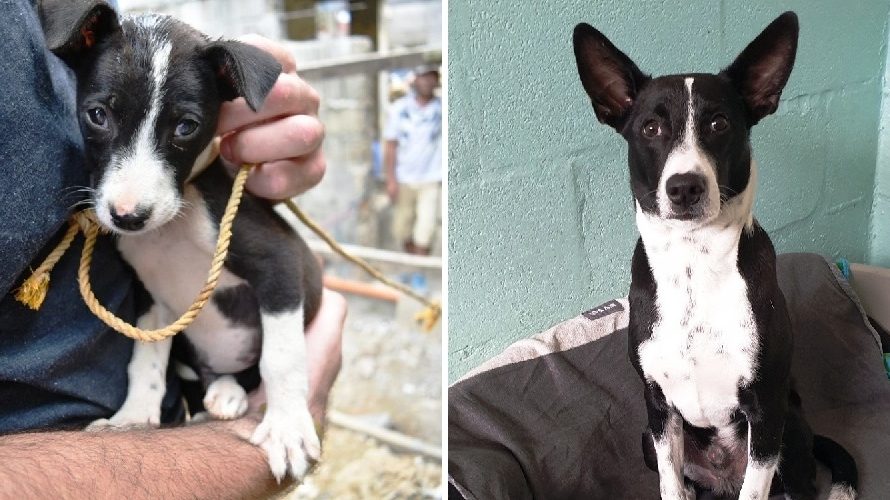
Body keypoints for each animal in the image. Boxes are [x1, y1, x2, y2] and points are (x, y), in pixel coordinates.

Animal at [40, 0, 322, 480]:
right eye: (98, 115)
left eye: (186, 127)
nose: (128, 216)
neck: (171, 226)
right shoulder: (152, 296)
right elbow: (146, 359)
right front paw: (133, 417)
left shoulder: (279, 262)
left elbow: (282, 356)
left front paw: (287, 427)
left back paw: (230, 393)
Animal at [572, 11, 856, 500]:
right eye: (651, 128)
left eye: (720, 124)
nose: (684, 187)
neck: (694, 262)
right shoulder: (658, 407)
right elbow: (670, 484)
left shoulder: (765, 409)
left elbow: (756, 487)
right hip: (647, 437)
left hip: (791, 429)